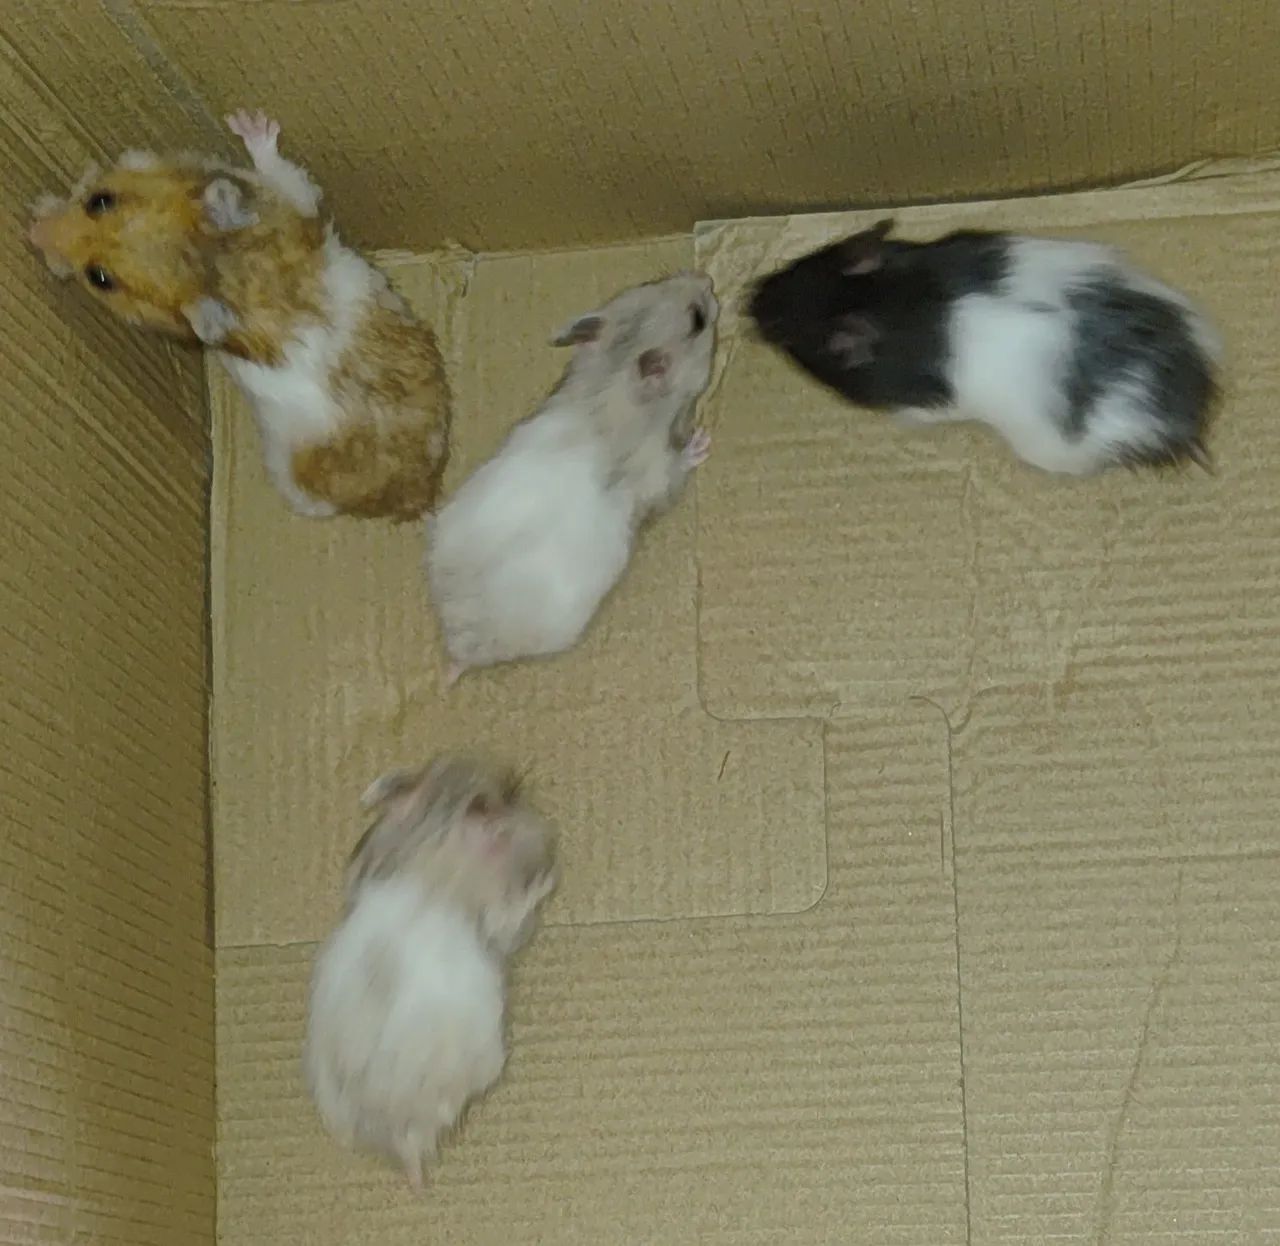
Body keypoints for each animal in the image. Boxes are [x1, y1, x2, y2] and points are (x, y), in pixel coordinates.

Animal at [27, 109, 452, 521]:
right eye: (99, 200)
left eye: (100, 279)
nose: (32, 231)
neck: (212, 264)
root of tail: (422, 497)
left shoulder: (292, 195)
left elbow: (282, 168)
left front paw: (248, 121)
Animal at [304, 756, 557, 1187]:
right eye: (498, 801)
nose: (551, 841)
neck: (432, 852)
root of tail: (395, 1132)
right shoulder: (501, 918)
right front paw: (545, 882)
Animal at [425, 271, 718, 682]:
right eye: (698, 320)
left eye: (651, 280)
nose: (706, 279)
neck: (611, 381)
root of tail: (459, 645)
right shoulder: (659, 471)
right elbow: (676, 470)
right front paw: (700, 443)